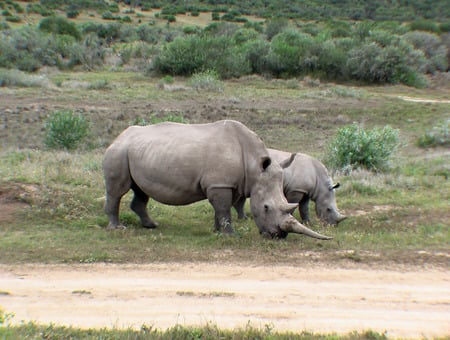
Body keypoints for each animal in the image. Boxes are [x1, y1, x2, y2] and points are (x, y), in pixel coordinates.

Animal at [103, 119, 332, 239]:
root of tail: (119, 136)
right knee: (118, 190)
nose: (278, 236)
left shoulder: (231, 184)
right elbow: (223, 209)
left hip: (136, 152)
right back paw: (117, 229)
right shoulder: (219, 184)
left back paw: (152, 225)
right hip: (119, 151)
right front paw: (230, 235)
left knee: (141, 190)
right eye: (266, 207)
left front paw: (217, 231)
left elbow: (223, 208)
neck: (254, 166)